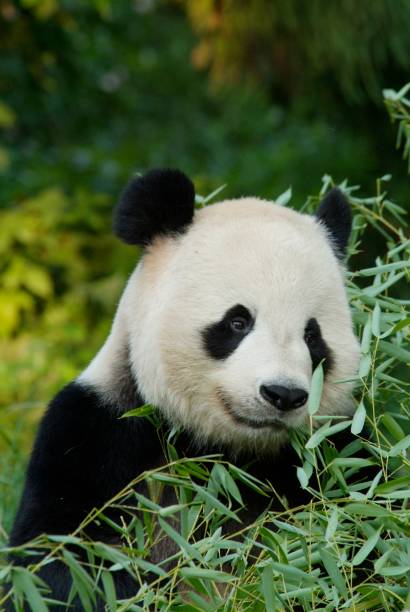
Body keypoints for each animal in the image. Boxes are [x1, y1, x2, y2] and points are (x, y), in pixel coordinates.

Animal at [8, 167, 364, 608]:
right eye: (237, 322)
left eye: (312, 336)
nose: (282, 394)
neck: (226, 455)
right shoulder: (95, 434)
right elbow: (63, 564)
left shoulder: (335, 458)